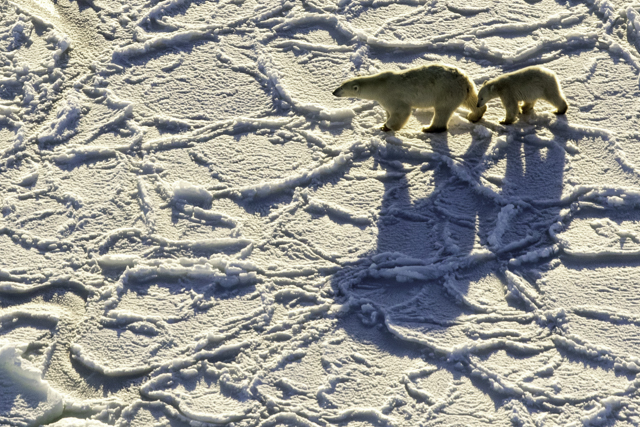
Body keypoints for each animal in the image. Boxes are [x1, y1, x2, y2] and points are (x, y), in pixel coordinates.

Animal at [332, 64, 486, 133]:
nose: (334, 92)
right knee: (472, 101)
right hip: (464, 88)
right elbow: (388, 112)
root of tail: (464, 82)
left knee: (442, 111)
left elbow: (402, 112)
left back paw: (429, 128)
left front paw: (389, 126)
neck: (380, 84)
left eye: (342, 88)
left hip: (446, 92)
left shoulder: (392, 96)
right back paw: (475, 115)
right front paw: (383, 125)